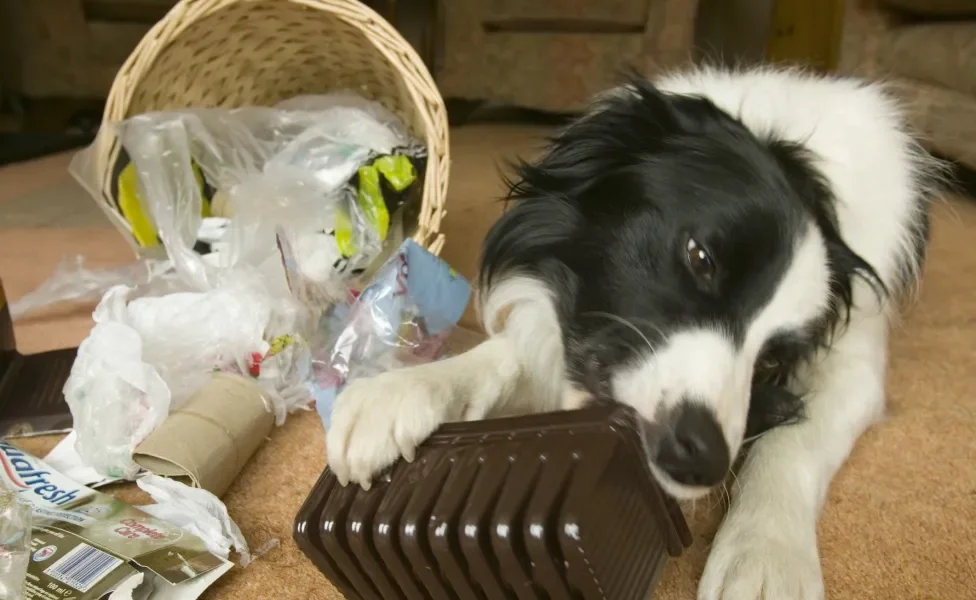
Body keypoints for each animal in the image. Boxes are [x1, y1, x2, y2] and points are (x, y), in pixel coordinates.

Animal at [326, 67, 936, 600]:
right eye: (700, 257)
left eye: (769, 362)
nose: (699, 459)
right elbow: (511, 351)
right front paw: (403, 391)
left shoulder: (854, 365)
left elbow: (792, 442)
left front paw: (765, 553)